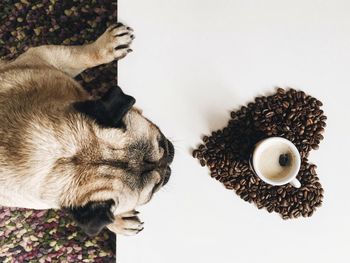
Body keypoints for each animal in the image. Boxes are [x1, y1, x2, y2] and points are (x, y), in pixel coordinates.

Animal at [0, 23, 174, 237]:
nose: (168, 164)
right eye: (154, 188)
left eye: (160, 141)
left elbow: (81, 55)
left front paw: (107, 45)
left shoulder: (45, 57)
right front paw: (117, 220)